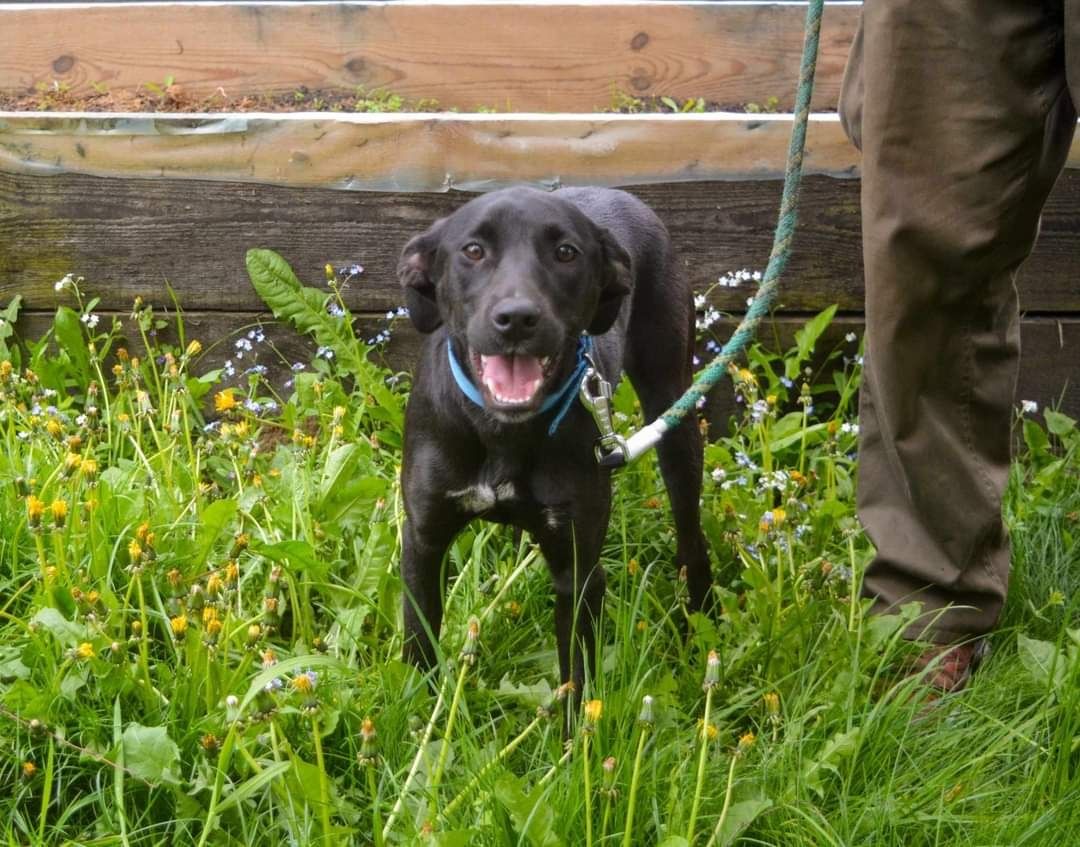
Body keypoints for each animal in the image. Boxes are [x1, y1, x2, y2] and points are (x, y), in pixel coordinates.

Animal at [397, 189, 708, 700]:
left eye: (566, 252)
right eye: (473, 250)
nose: (517, 319)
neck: (500, 430)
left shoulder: (579, 573)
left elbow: (575, 678)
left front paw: (574, 724)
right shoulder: (423, 543)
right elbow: (419, 645)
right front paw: (417, 713)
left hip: (674, 415)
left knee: (691, 533)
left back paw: (702, 618)